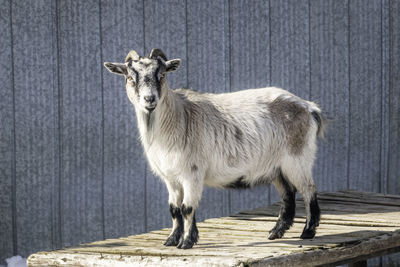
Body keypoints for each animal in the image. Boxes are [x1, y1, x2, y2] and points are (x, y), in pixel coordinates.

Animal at [104, 48, 324, 251]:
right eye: (130, 77)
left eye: (163, 75)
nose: (149, 99)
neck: (177, 118)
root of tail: (309, 107)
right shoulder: (171, 178)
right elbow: (174, 209)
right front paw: (171, 240)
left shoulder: (191, 173)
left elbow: (187, 208)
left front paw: (186, 242)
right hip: (276, 167)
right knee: (288, 194)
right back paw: (276, 232)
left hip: (298, 159)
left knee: (308, 189)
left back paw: (307, 231)